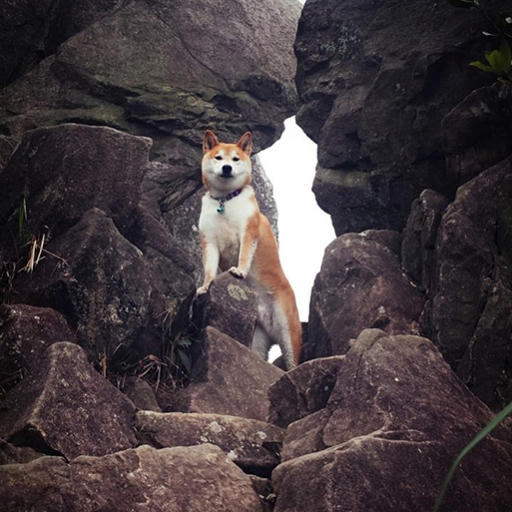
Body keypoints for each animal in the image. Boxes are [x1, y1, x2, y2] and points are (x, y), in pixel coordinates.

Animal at [195, 128, 300, 368]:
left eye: (235, 159)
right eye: (218, 157)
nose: (227, 168)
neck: (225, 201)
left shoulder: (248, 232)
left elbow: (244, 255)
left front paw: (240, 271)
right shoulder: (209, 240)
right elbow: (209, 268)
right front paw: (204, 286)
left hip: (288, 332)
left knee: (293, 361)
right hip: (258, 337)